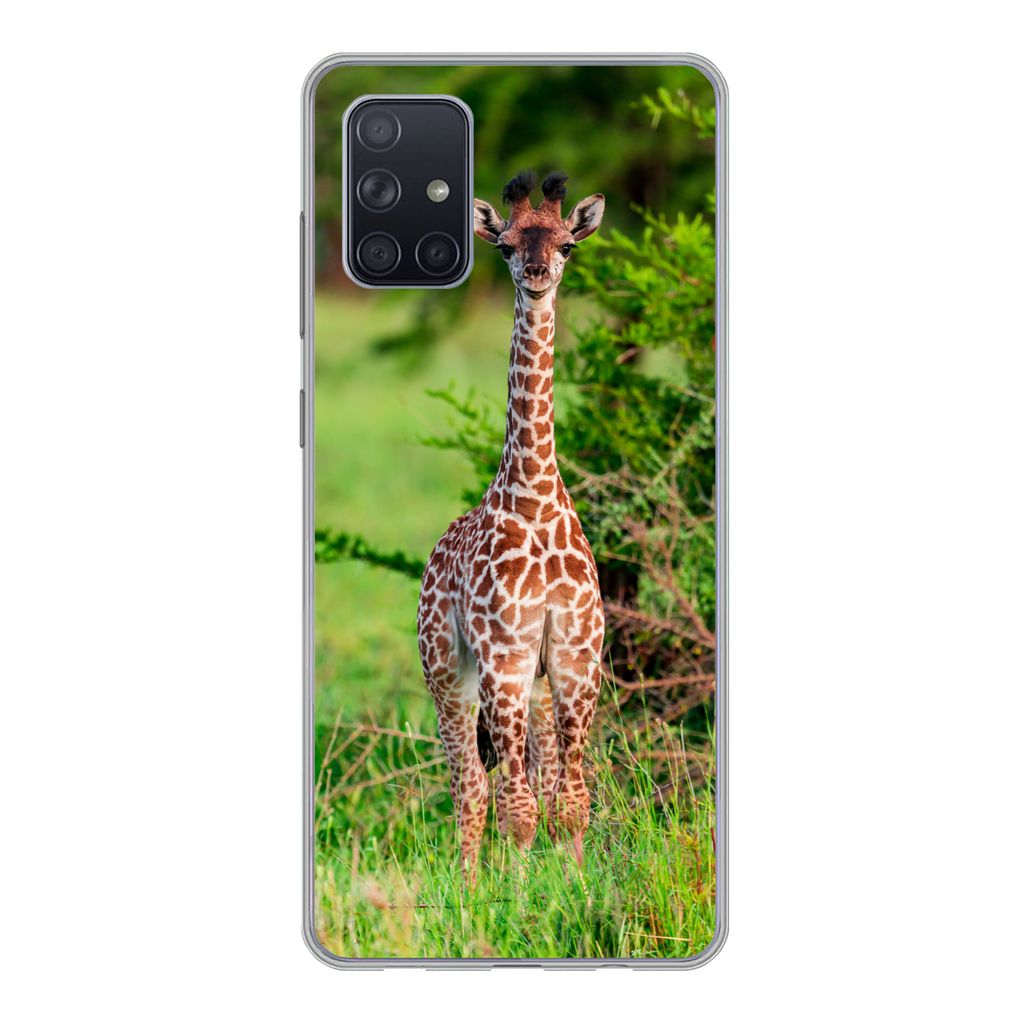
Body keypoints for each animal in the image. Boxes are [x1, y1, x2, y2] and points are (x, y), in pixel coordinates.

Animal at [416, 171, 606, 882]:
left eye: (567, 244)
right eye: (503, 246)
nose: (537, 271)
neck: (535, 497)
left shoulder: (576, 659)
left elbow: (569, 802)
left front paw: (576, 889)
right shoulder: (503, 656)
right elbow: (518, 810)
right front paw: (520, 896)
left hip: (538, 688)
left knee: (536, 779)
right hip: (448, 670)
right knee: (471, 786)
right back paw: (471, 889)